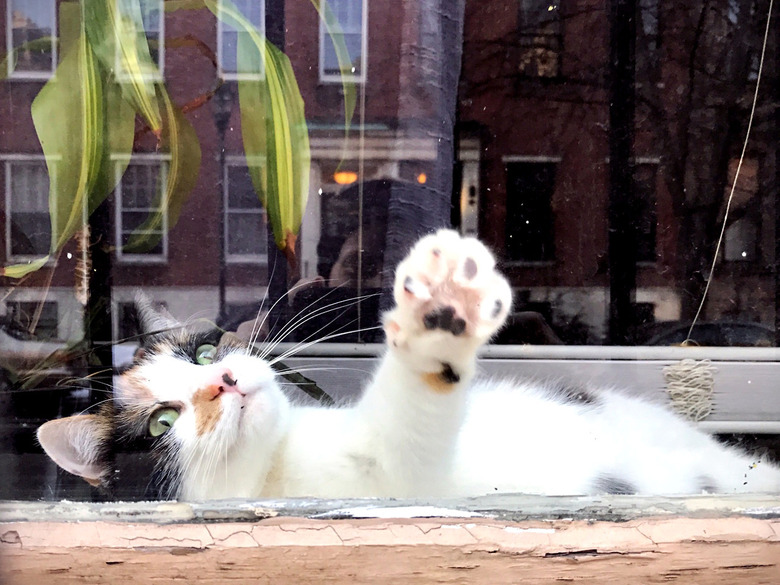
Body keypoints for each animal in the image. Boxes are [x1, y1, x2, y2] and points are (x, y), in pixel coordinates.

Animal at [39, 230, 780, 500]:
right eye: (161, 424)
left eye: (200, 351)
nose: (223, 378)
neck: (284, 454)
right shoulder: (397, 475)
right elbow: (411, 417)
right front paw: (433, 320)